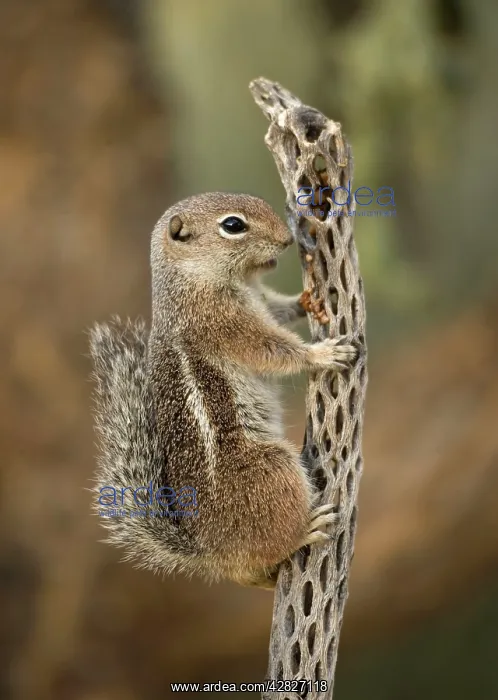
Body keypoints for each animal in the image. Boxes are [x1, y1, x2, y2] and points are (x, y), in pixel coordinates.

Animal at [89, 192, 357, 589]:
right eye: (233, 225)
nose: (286, 240)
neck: (193, 279)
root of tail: (213, 555)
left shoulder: (261, 302)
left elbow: (278, 310)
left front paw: (304, 301)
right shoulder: (224, 323)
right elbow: (271, 350)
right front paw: (321, 354)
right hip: (271, 467)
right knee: (275, 542)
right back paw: (307, 528)